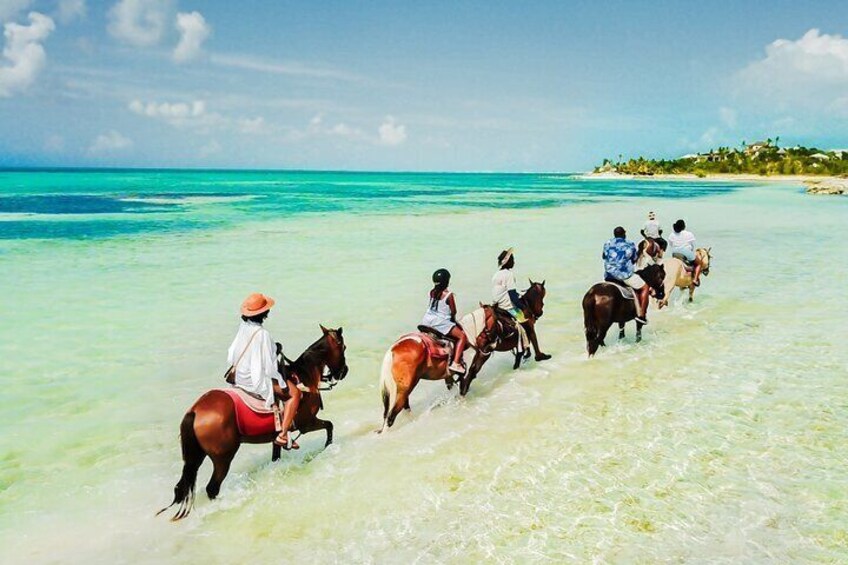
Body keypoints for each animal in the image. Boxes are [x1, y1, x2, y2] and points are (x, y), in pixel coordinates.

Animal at [157, 326, 346, 520]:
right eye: (343, 347)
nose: (343, 372)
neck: (305, 377)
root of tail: (195, 410)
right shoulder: (307, 424)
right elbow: (329, 425)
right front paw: (328, 446)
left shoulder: (277, 436)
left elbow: (276, 456)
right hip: (223, 458)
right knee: (212, 488)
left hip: (197, 456)